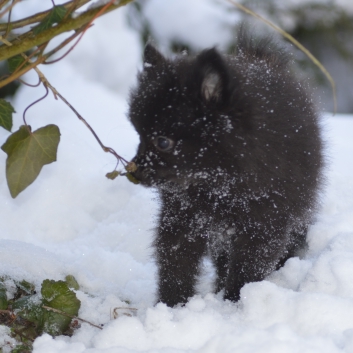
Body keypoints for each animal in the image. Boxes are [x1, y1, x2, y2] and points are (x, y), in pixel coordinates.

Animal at [128, 33, 324, 308]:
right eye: (139, 136)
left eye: (162, 142)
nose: (134, 171)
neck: (218, 183)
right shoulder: (183, 218)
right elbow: (176, 265)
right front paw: (172, 305)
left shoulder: (264, 224)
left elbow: (246, 269)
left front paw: (235, 303)